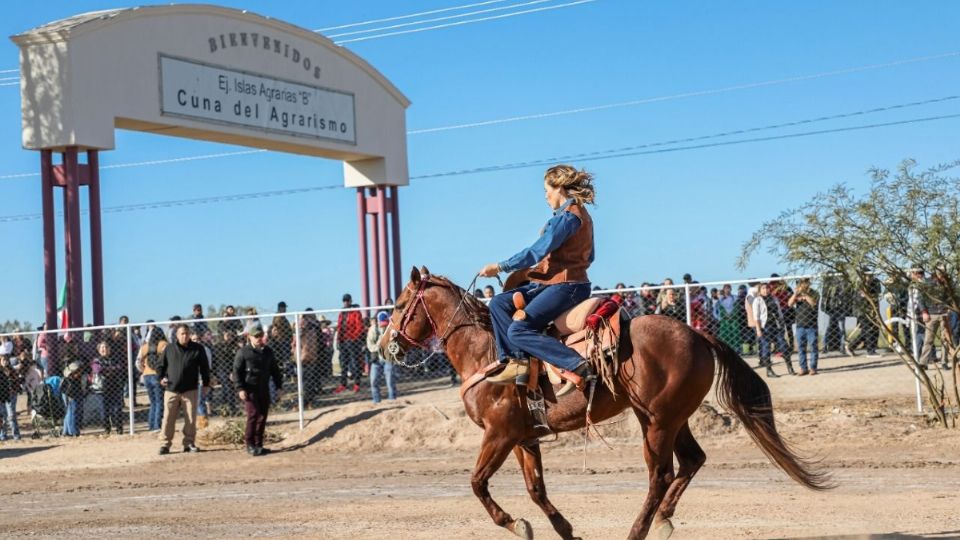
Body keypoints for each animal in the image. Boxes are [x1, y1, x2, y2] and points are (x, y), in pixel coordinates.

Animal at [378, 266, 828, 540]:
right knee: (692, 461)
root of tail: (698, 335)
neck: (487, 352)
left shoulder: (499, 434)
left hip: (657, 422)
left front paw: (514, 523)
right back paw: (663, 520)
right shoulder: (524, 438)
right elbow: (536, 490)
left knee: (660, 475)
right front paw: (566, 530)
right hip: (670, 417)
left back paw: (639, 529)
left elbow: (477, 483)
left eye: (399, 306)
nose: (383, 346)